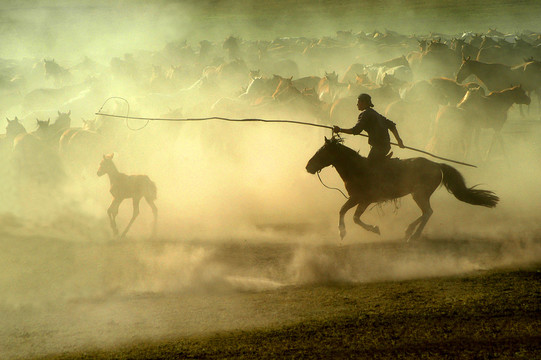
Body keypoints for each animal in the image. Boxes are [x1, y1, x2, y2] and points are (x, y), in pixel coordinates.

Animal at [304, 138, 498, 242]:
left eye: (322, 152)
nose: (308, 167)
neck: (357, 168)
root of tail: (437, 165)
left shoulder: (363, 199)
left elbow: (351, 216)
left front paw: (348, 231)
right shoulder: (357, 199)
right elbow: (348, 213)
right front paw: (349, 231)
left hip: (419, 194)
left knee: (428, 212)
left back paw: (413, 234)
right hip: (419, 194)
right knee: (426, 212)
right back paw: (409, 231)